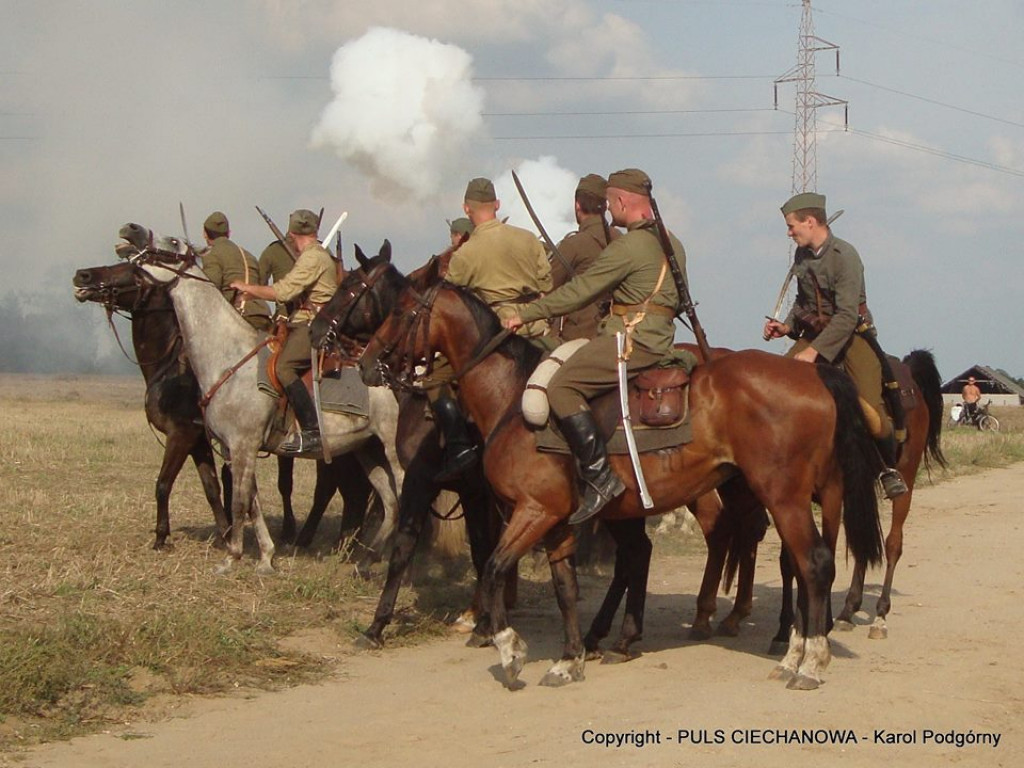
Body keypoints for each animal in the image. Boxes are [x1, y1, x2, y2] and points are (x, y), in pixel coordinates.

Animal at [121, 225, 401, 573]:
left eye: (173, 242)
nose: (131, 230)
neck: (229, 357)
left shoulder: (242, 443)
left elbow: (240, 501)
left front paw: (232, 556)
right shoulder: (235, 447)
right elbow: (251, 500)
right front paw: (266, 556)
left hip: (393, 449)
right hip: (368, 450)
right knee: (390, 503)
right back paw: (368, 559)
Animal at [356, 276, 884, 692]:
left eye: (401, 310)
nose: (365, 363)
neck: (513, 399)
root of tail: (815, 374)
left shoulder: (533, 511)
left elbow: (493, 569)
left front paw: (509, 650)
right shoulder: (557, 521)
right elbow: (564, 587)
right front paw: (569, 659)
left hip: (785, 498)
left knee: (813, 564)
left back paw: (809, 662)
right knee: (793, 562)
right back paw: (790, 652)